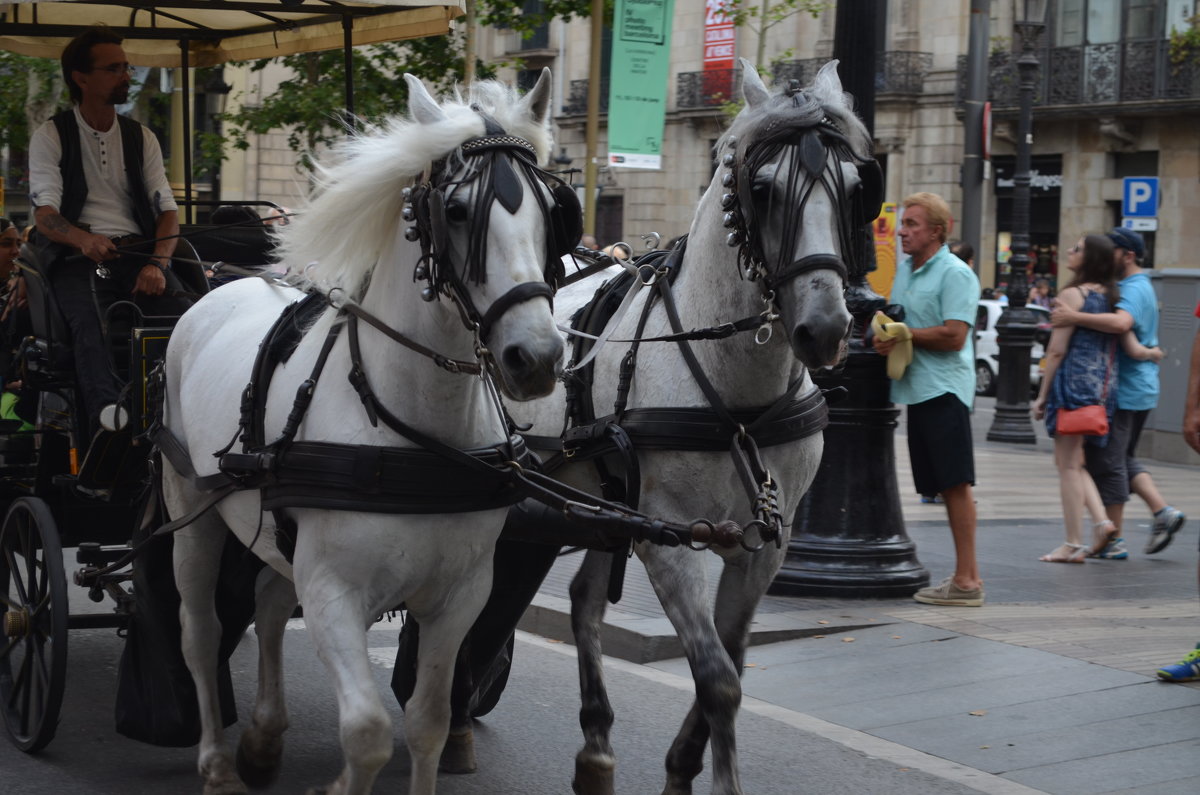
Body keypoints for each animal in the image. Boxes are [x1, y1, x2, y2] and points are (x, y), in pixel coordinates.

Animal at [162, 69, 568, 795]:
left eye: (552, 211)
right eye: (455, 211)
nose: (538, 357)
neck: (417, 432)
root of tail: (220, 286)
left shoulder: (460, 598)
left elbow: (428, 722)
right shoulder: (334, 593)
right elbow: (368, 733)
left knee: (268, 604)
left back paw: (262, 737)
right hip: (192, 510)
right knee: (201, 630)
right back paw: (216, 760)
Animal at [506, 59, 873, 792]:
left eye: (855, 188)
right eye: (762, 189)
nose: (825, 330)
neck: (737, 402)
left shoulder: (766, 544)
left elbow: (730, 663)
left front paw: (681, 766)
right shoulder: (669, 539)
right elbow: (718, 678)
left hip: (605, 502)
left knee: (585, 599)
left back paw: (596, 746)